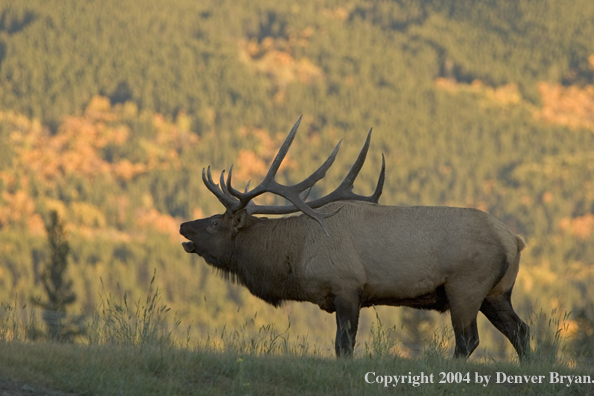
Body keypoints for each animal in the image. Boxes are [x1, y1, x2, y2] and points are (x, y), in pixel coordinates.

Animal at [179, 116, 528, 360]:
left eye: (214, 223)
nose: (183, 226)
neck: (295, 256)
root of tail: (515, 241)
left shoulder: (347, 286)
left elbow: (343, 345)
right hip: (497, 291)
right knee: (520, 330)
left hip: (466, 286)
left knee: (468, 339)